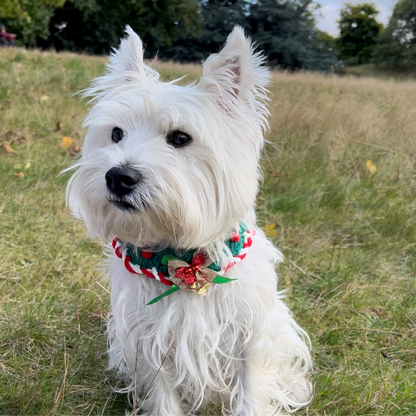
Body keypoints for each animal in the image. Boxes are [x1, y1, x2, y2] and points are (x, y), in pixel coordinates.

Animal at [66, 25, 310, 412]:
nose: (118, 177)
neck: (184, 259)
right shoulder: (149, 340)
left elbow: (252, 389)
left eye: (180, 138)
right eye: (116, 133)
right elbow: (164, 396)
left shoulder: (249, 335)